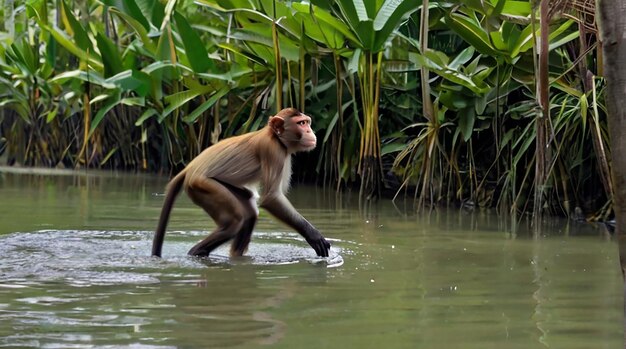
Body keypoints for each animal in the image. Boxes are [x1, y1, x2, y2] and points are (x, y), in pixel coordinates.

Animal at [150, 109, 332, 258]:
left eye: (306, 122)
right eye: (301, 123)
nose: (309, 131)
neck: (275, 136)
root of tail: (190, 167)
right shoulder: (273, 150)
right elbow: (271, 198)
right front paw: (312, 234)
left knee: (249, 213)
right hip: (202, 185)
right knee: (234, 220)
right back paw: (196, 252)